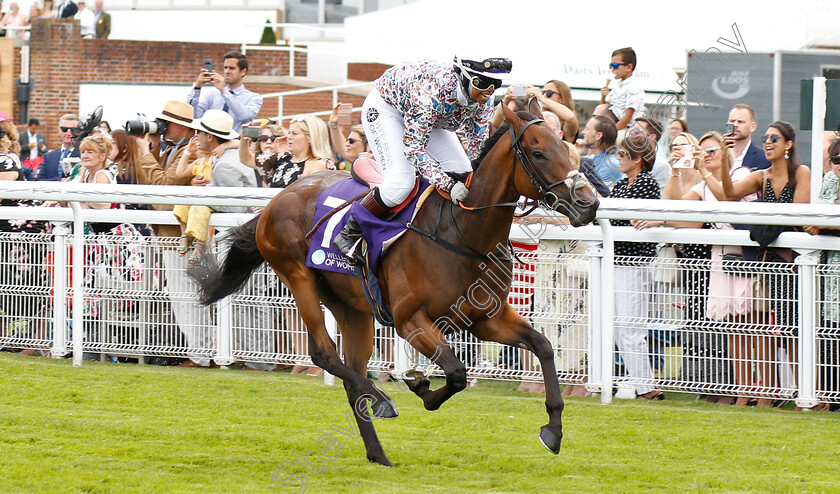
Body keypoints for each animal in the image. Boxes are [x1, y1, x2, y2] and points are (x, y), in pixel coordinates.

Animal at [190, 105, 596, 466]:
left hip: (351, 306)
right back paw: (382, 401)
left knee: (349, 374)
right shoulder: (410, 320)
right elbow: (457, 373)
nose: (588, 203)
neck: (462, 232)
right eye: (539, 153)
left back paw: (378, 452)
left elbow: (543, 346)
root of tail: (279, 197)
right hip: (298, 275)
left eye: (568, 148)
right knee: (325, 354)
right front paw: (420, 387)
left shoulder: (486, 318)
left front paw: (553, 430)